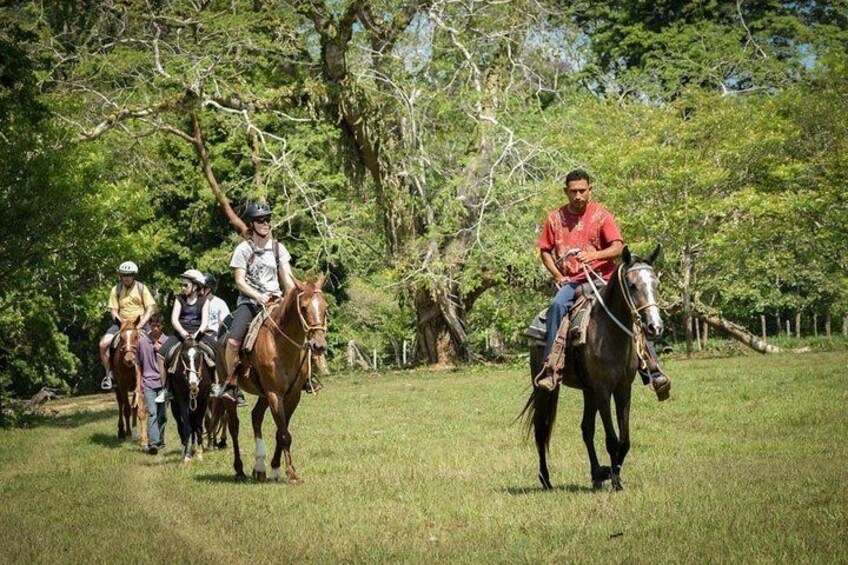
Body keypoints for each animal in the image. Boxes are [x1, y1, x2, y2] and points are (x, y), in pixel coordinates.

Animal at [111, 318, 147, 446]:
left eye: (136, 336)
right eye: (121, 338)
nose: (129, 359)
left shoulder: (139, 385)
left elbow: (138, 408)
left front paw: (141, 437)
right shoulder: (123, 386)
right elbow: (126, 409)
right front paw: (129, 434)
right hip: (118, 388)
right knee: (121, 404)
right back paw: (122, 431)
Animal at [215, 276, 328, 482]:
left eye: (325, 307)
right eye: (304, 307)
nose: (319, 345)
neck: (281, 345)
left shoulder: (292, 395)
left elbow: (280, 432)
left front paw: (276, 469)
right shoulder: (275, 394)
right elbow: (284, 434)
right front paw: (291, 473)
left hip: (263, 394)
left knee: (256, 417)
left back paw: (259, 468)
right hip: (229, 387)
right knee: (234, 425)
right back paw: (239, 470)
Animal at [524, 246, 664, 490]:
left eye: (655, 282)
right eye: (632, 285)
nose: (654, 327)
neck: (610, 334)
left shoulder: (622, 389)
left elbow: (624, 440)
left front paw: (614, 475)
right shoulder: (603, 389)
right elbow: (611, 440)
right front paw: (615, 481)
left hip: (588, 391)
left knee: (586, 429)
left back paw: (597, 474)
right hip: (545, 387)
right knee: (541, 428)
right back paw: (546, 479)